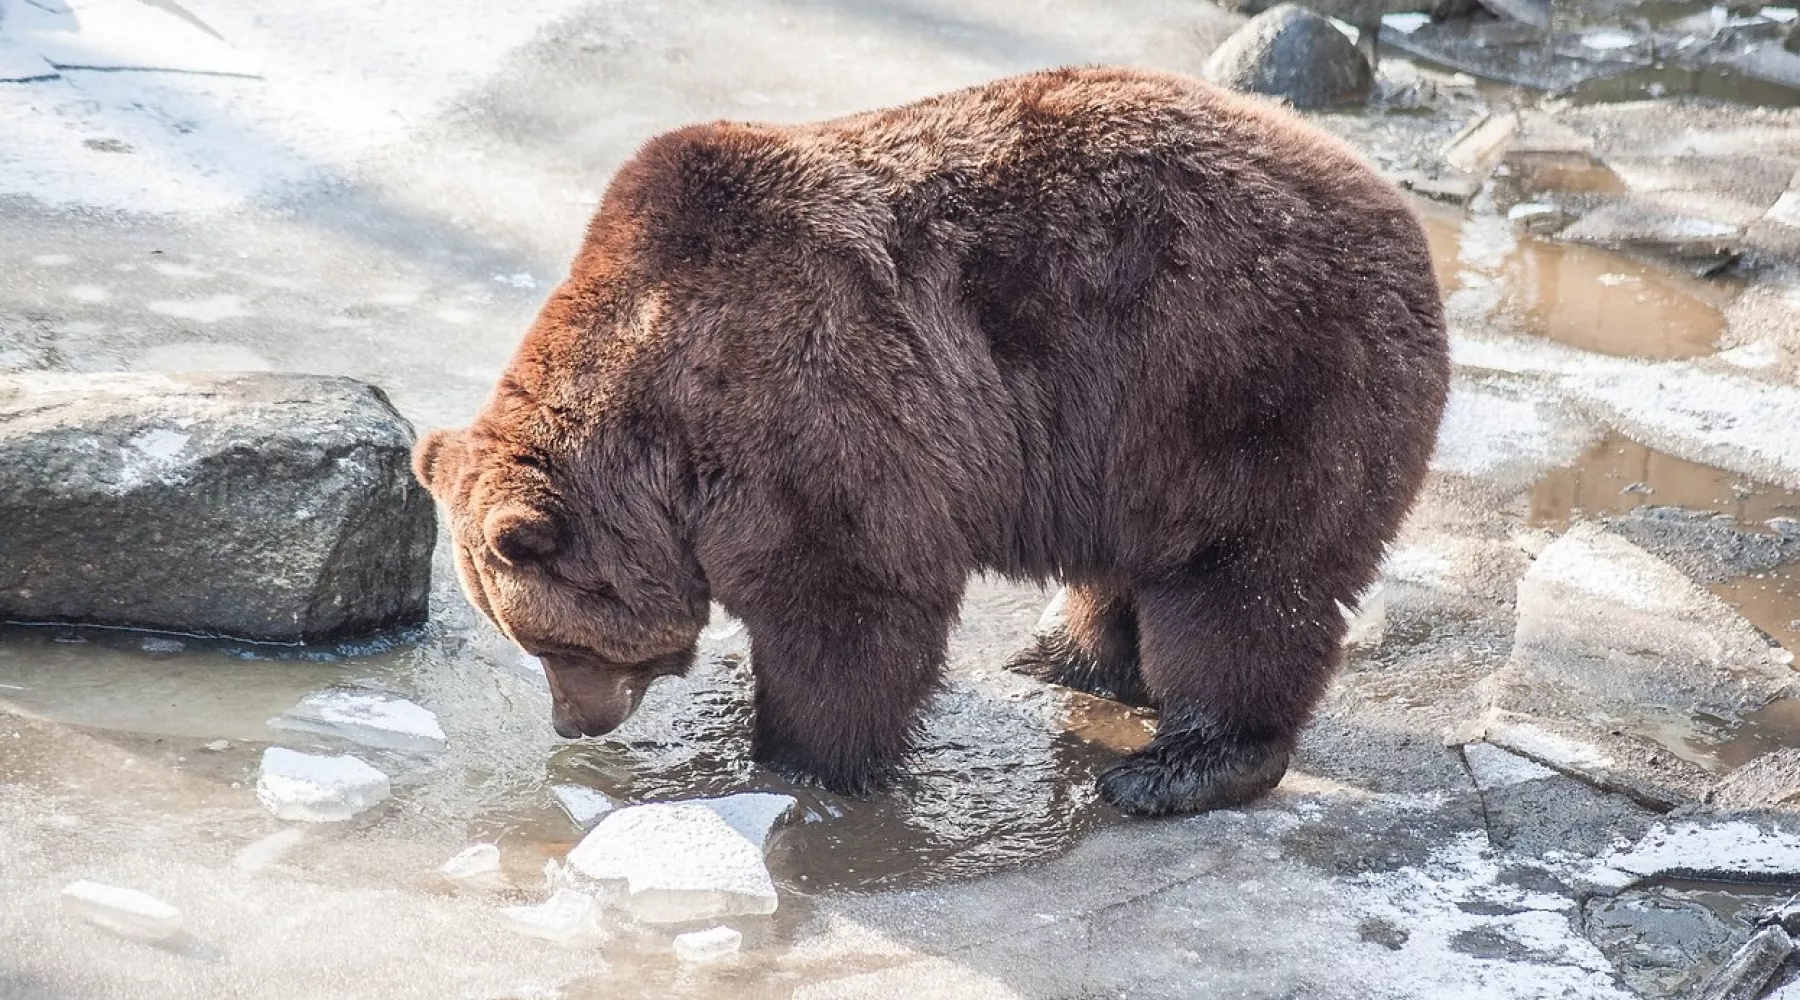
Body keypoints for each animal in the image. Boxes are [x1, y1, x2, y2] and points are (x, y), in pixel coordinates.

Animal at [412, 62, 1447, 816]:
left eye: (552, 643)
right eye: (525, 639)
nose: (570, 726)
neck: (665, 432)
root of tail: (1393, 205)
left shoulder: (813, 402)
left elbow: (850, 602)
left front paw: (796, 758)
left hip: (1254, 382)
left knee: (1246, 583)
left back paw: (1175, 768)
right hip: (1146, 439)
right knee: (1141, 565)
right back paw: (1068, 656)